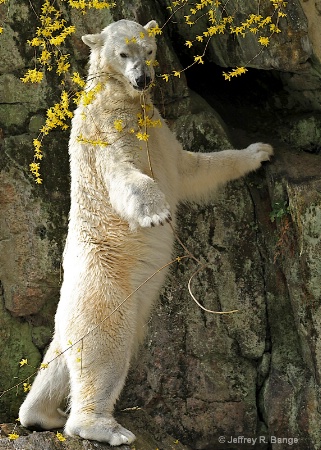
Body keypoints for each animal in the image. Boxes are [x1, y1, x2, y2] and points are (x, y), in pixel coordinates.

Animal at [18, 18, 272, 446]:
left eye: (149, 50)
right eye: (123, 54)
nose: (143, 79)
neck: (121, 98)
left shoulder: (158, 134)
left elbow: (192, 168)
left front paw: (259, 152)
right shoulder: (106, 130)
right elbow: (124, 173)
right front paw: (156, 214)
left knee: (65, 353)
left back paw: (40, 414)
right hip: (105, 284)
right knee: (105, 345)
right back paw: (102, 427)